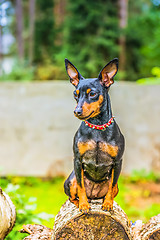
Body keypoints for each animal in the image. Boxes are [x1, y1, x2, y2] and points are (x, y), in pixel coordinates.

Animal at [63, 58, 125, 214]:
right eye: (75, 94)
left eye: (92, 94)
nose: (77, 111)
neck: (97, 127)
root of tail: (94, 195)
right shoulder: (78, 160)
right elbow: (81, 186)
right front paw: (84, 205)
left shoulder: (117, 162)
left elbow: (111, 186)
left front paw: (108, 204)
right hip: (71, 179)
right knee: (72, 197)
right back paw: (80, 203)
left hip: (116, 186)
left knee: (112, 188)